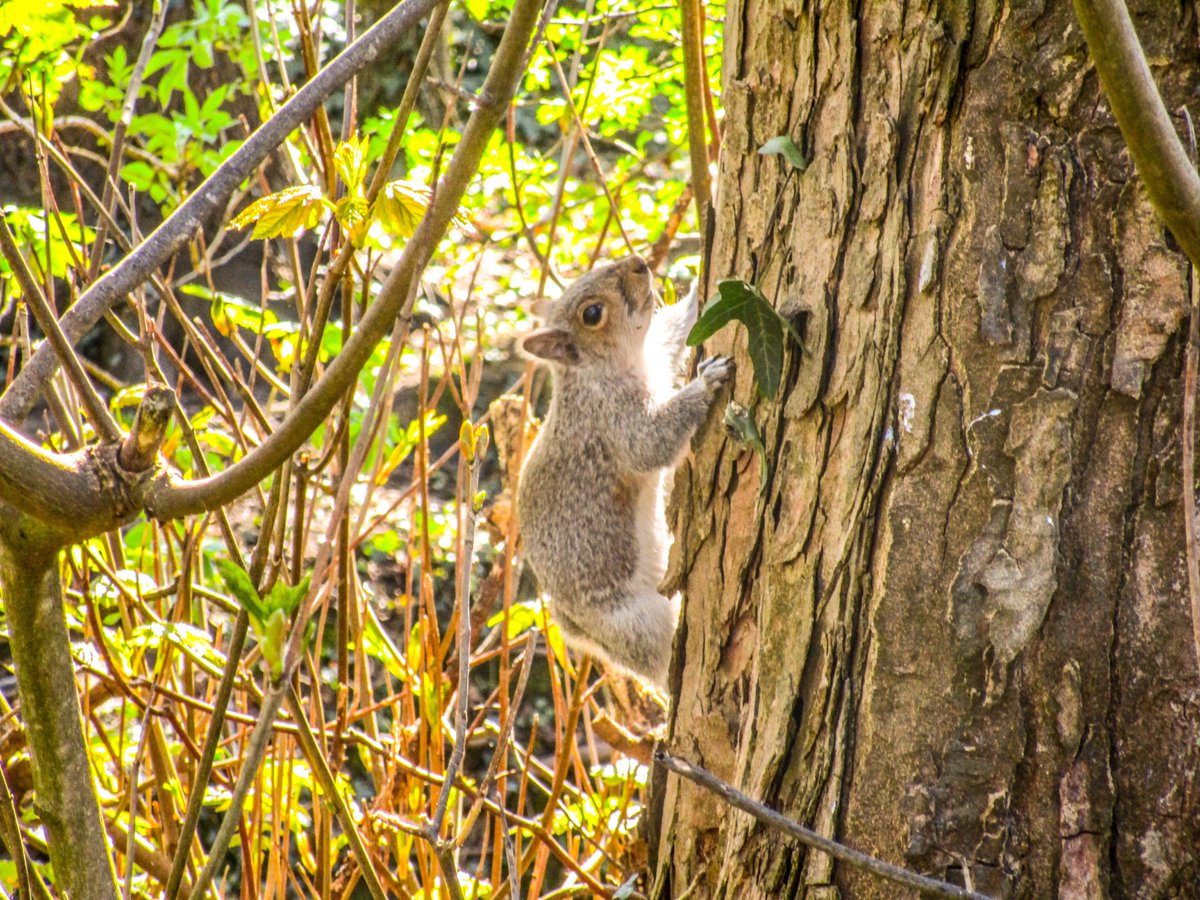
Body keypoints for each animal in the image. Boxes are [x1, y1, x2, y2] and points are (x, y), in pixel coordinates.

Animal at [516, 255, 732, 689]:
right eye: (592, 314)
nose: (638, 263)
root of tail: (577, 633)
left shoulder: (659, 354)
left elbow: (674, 332)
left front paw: (698, 285)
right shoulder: (611, 420)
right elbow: (650, 444)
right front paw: (706, 382)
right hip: (635, 622)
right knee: (662, 661)